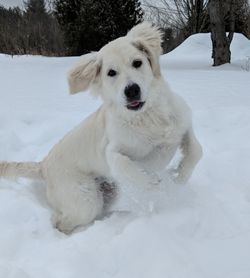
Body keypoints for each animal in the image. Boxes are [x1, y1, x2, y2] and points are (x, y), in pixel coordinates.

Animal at [0, 22, 202, 233]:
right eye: (111, 73)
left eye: (137, 62)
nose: (132, 90)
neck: (148, 116)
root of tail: (44, 165)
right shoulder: (111, 150)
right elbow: (124, 164)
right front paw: (152, 183)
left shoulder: (182, 126)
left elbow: (197, 151)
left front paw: (180, 176)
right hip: (86, 199)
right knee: (60, 221)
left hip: (105, 194)